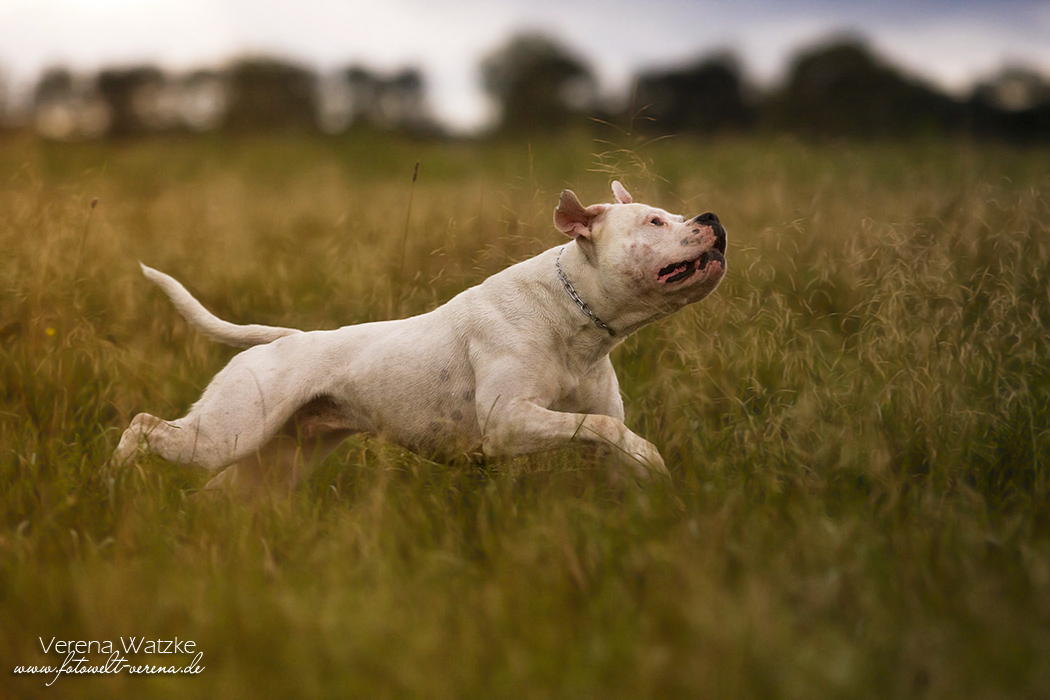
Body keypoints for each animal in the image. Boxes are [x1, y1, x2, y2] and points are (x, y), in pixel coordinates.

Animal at [112, 180, 722, 491]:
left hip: (273, 461)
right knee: (142, 424)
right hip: (224, 436)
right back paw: (112, 477)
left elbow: (610, 433)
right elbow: (602, 427)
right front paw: (654, 458)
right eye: (654, 222)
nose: (713, 218)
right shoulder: (509, 423)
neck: (571, 318)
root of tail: (282, 340)